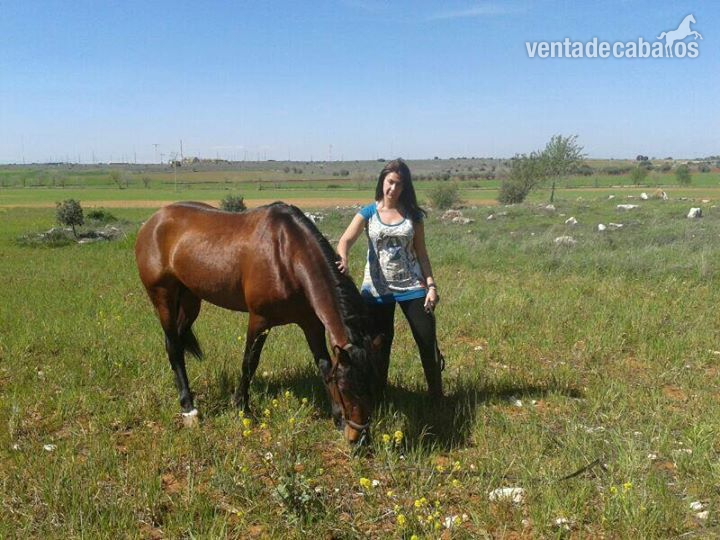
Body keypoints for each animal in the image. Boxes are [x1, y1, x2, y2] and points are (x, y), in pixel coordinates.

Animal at [134, 201, 380, 443]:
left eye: (371, 387)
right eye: (346, 388)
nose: (359, 438)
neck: (287, 255)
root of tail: (153, 222)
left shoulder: (311, 324)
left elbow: (324, 366)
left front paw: (337, 418)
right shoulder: (260, 321)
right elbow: (249, 363)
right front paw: (242, 407)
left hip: (190, 299)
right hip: (163, 297)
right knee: (174, 347)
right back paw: (188, 408)